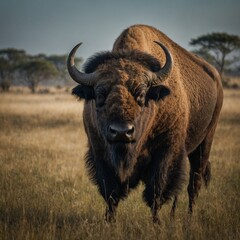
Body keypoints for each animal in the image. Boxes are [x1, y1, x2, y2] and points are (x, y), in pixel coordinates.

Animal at [67, 24, 223, 223]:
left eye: (141, 94)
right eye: (100, 94)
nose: (121, 132)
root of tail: (216, 78)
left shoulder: (166, 152)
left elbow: (156, 191)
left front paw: (156, 222)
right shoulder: (99, 153)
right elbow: (111, 193)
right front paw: (109, 221)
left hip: (205, 142)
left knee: (193, 184)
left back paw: (189, 217)